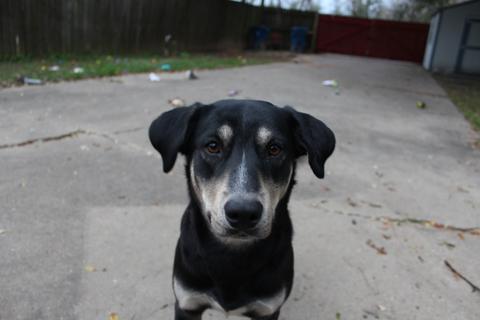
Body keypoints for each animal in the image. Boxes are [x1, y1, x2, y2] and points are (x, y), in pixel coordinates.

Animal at [149, 99, 334, 318]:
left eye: (274, 149)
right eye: (213, 146)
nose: (243, 213)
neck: (232, 255)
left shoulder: (268, 309)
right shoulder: (188, 303)